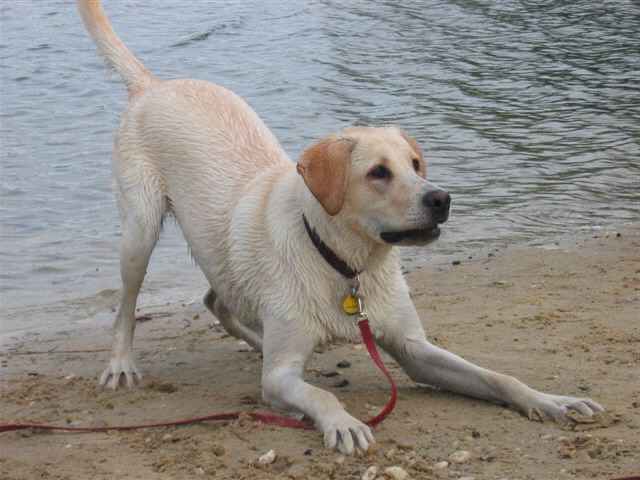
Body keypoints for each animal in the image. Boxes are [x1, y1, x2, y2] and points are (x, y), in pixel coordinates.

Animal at [77, 0, 604, 454]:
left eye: (416, 164)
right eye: (378, 173)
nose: (442, 199)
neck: (346, 264)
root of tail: (153, 85)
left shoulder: (414, 349)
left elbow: (497, 376)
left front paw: (549, 400)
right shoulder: (280, 378)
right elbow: (320, 395)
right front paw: (343, 423)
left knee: (216, 300)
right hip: (139, 231)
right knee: (127, 306)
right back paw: (121, 364)